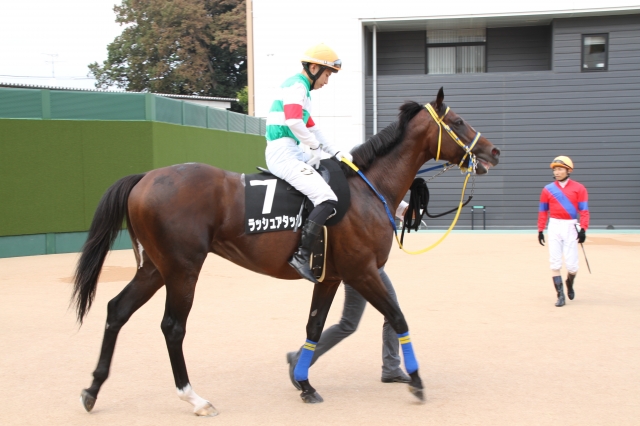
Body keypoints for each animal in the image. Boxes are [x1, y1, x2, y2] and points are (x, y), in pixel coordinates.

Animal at [72, 88, 501, 416]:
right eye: (458, 121)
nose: (493, 152)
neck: (367, 189)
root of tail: (145, 177)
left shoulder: (331, 277)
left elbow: (314, 328)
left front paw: (304, 383)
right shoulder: (362, 272)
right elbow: (397, 318)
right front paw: (416, 381)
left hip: (155, 269)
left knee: (117, 310)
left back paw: (93, 389)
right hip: (182, 270)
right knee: (172, 327)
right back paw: (194, 398)